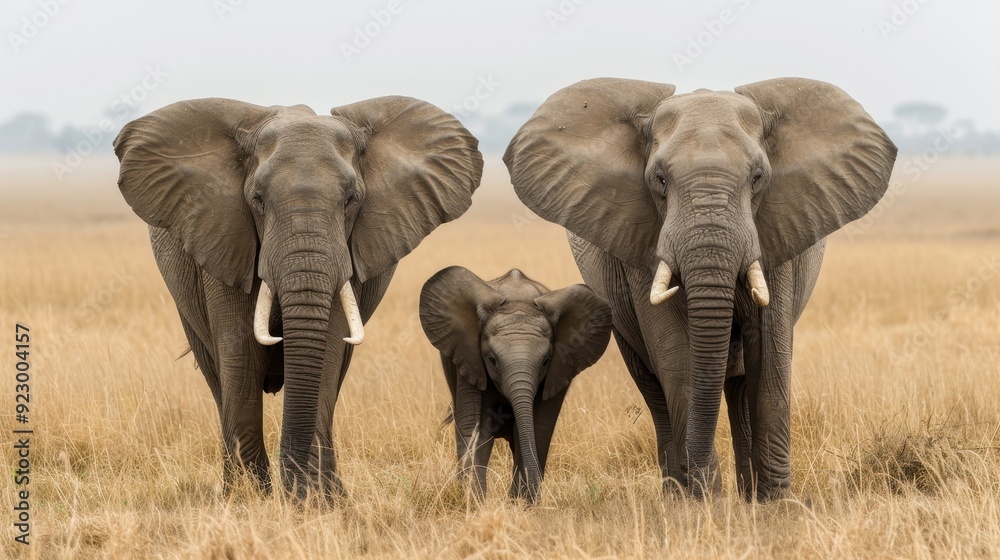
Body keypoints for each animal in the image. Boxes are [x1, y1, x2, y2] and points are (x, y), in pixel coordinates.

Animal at [113, 96, 483, 499]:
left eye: (352, 199)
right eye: (257, 200)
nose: (291, 490)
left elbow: (327, 354)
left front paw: (318, 502)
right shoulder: (225, 237)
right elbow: (241, 352)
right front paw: (251, 499)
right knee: (217, 378)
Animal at [419, 267, 612, 503]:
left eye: (546, 361)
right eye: (492, 360)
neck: (518, 299)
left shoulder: (559, 369)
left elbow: (538, 427)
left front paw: (521, 505)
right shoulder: (470, 359)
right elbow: (475, 425)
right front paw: (475, 502)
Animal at [504, 77, 896, 500]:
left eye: (758, 178)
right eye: (659, 180)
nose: (703, 479)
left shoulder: (778, 230)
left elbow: (770, 358)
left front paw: (777, 505)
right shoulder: (642, 239)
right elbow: (676, 355)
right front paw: (706, 502)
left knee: (741, 389)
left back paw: (747, 497)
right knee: (654, 388)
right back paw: (680, 496)